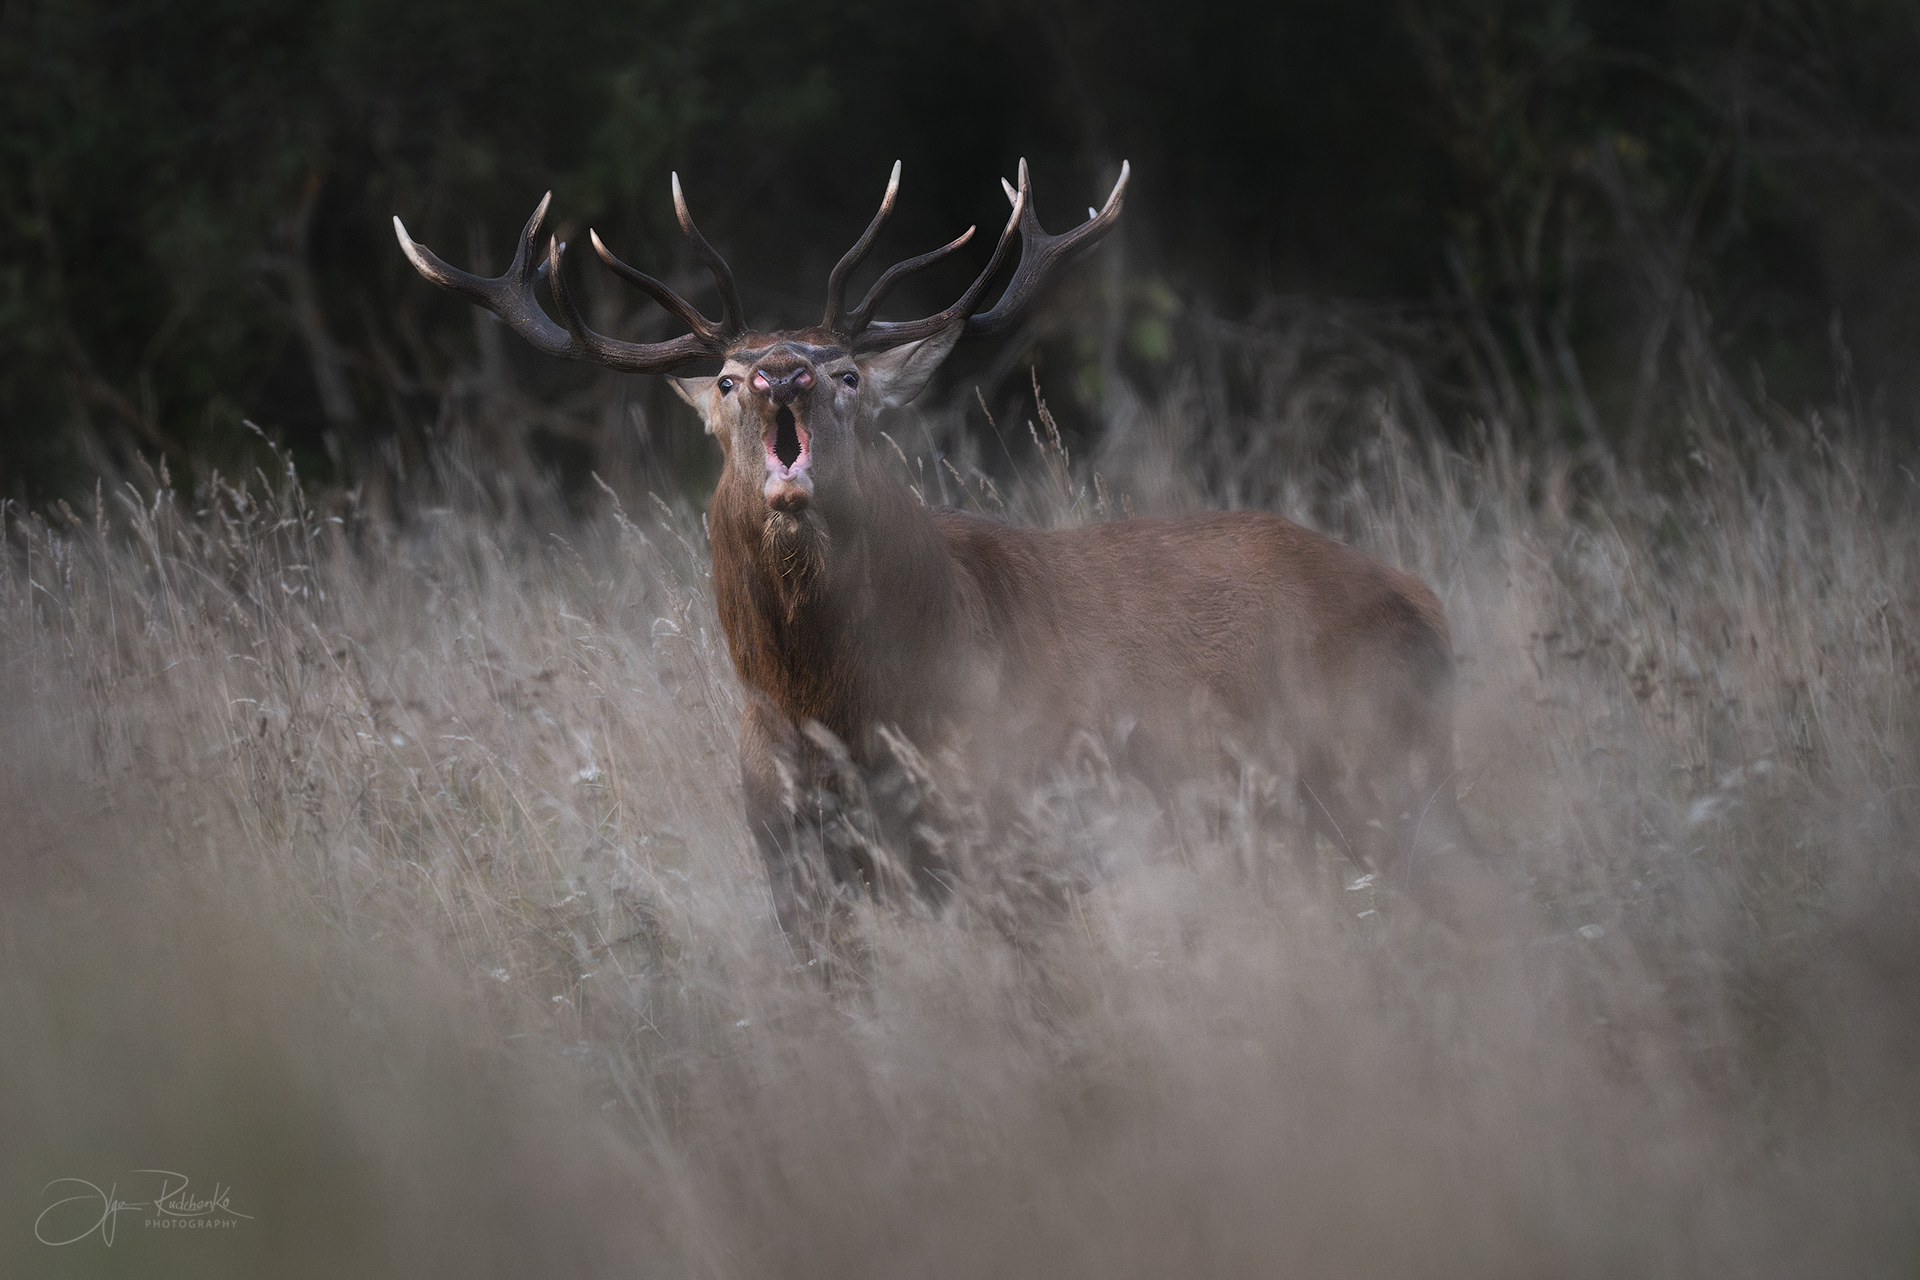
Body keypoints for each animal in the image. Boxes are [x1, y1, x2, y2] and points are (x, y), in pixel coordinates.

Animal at [395, 161, 1465, 938]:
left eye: (848, 373)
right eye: (730, 380)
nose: (784, 372)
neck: (840, 716)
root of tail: (1425, 601)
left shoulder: (1018, 841)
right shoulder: (795, 871)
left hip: (1373, 775)